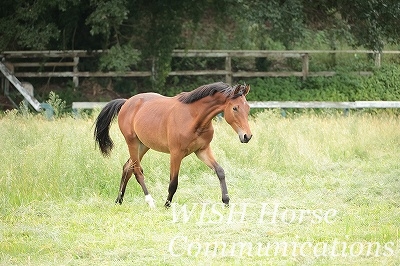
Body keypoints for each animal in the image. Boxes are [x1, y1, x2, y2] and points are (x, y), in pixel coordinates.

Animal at [93, 81, 253, 208]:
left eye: (248, 108)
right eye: (235, 108)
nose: (247, 136)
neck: (194, 118)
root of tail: (126, 102)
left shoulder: (202, 150)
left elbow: (220, 171)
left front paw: (226, 201)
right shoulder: (176, 153)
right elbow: (173, 182)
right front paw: (167, 204)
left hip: (143, 145)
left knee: (127, 167)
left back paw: (119, 200)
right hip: (132, 142)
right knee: (137, 171)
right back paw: (150, 202)